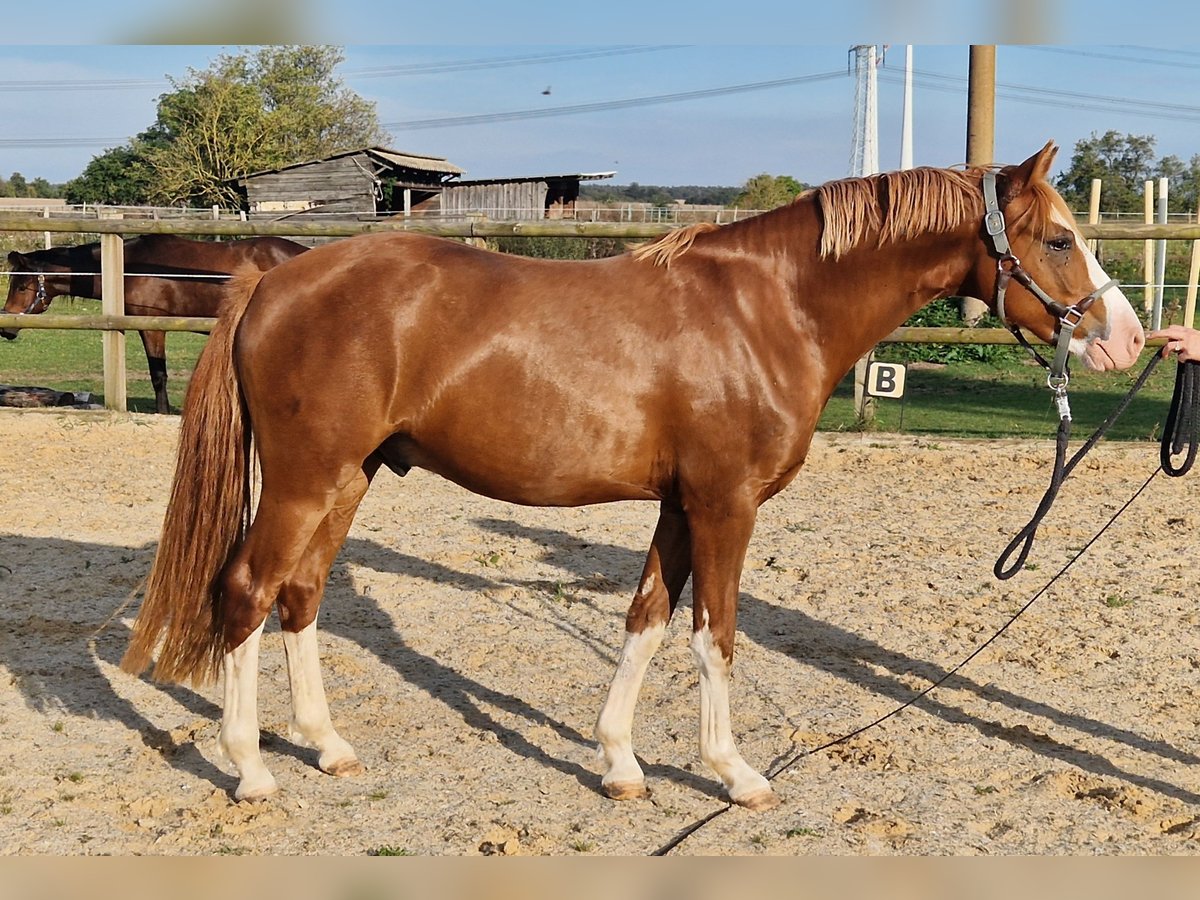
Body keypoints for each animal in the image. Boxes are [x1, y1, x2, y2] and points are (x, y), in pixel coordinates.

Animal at [2, 234, 309, 415]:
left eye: (21, 286)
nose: (6, 328)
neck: (129, 267)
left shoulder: (152, 328)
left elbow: (158, 375)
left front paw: (163, 411)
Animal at [121, 142, 1142, 811]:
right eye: (1058, 239)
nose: (1127, 338)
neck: (772, 308)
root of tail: (273, 281)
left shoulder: (681, 506)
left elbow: (648, 619)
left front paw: (619, 763)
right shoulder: (725, 505)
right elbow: (716, 634)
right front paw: (736, 774)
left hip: (349, 479)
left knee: (301, 595)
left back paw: (327, 748)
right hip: (304, 481)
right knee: (247, 591)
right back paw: (251, 770)